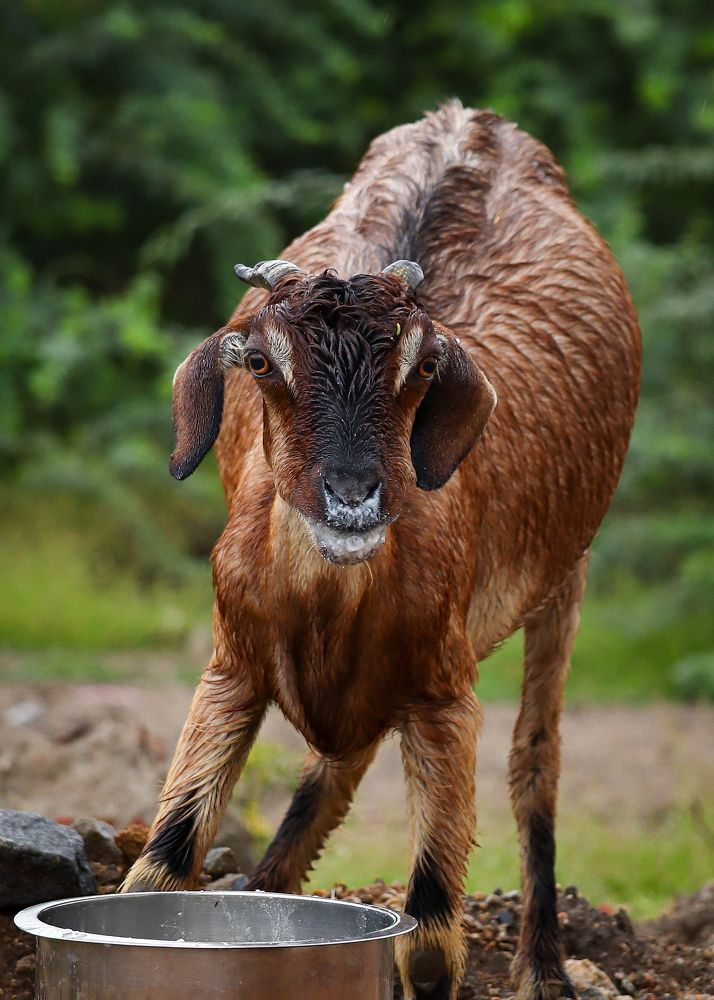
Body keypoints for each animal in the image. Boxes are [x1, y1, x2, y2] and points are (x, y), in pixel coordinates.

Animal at [123, 101, 641, 1000]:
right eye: (260, 361)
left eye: (422, 366)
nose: (354, 498)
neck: (331, 599)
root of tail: (471, 121)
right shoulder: (232, 667)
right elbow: (157, 870)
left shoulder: (444, 694)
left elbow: (430, 936)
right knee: (338, 763)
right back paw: (270, 883)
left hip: (566, 573)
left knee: (534, 759)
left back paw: (544, 967)